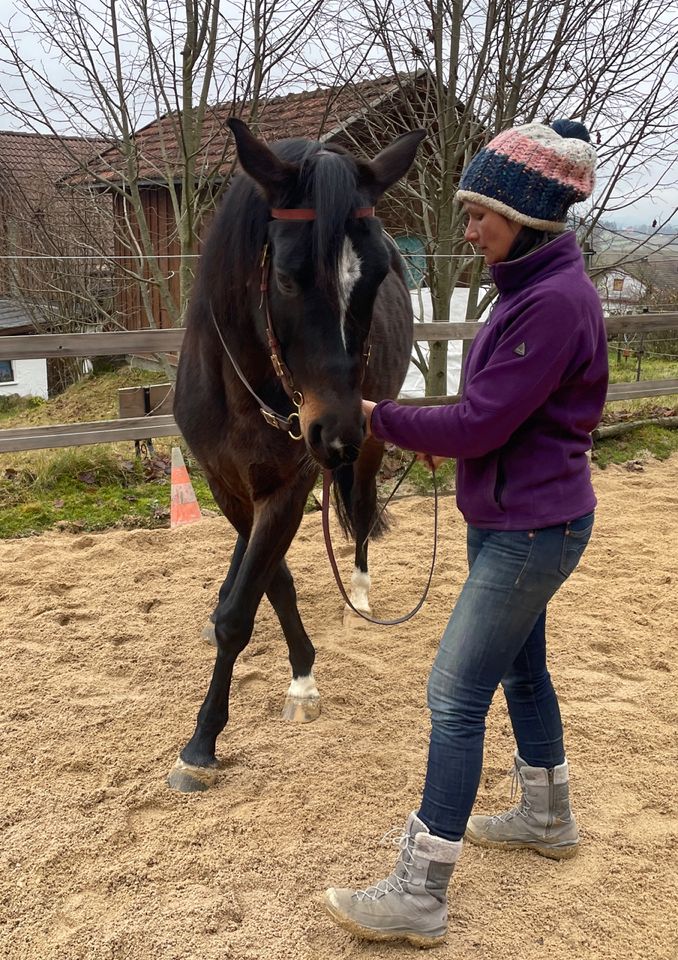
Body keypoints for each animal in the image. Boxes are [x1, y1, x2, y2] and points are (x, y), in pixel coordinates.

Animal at [170, 118, 424, 796]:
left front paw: (205, 740)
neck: (246, 388)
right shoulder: (225, 484)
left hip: (371, 442)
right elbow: (270, 582)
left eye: (377, 277)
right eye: (286, 276)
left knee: (360, 510)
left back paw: (359, 593)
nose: (334, 432)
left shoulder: (287, 485)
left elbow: (247, 606)